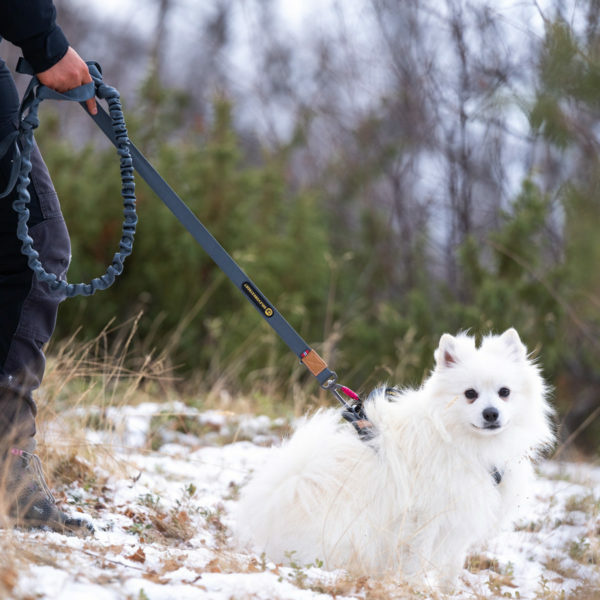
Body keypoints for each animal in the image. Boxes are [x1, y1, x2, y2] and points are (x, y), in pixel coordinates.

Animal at [233, 330, 552, 588]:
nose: (491, 414)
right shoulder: (424, 517)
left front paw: (450, 592)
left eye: (504, 392)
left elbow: (452, 565)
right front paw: (417, 590)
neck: (460, 439)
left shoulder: (460, 515)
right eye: (470, 394)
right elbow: (417, 561)